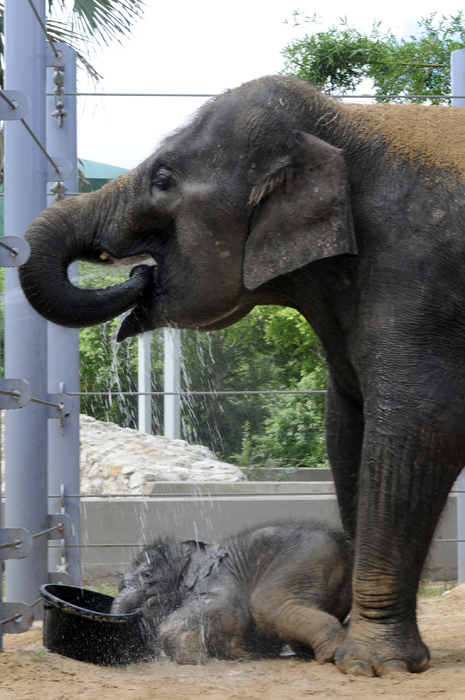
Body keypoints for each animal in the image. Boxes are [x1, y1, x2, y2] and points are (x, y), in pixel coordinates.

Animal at [110, 523, 353, 664]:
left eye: (147, 575)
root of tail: (345, 544)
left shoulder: (218, 579)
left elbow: (221, 607)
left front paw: (192, 652)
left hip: (306, 558)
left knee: (267, 604)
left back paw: (328, 654)